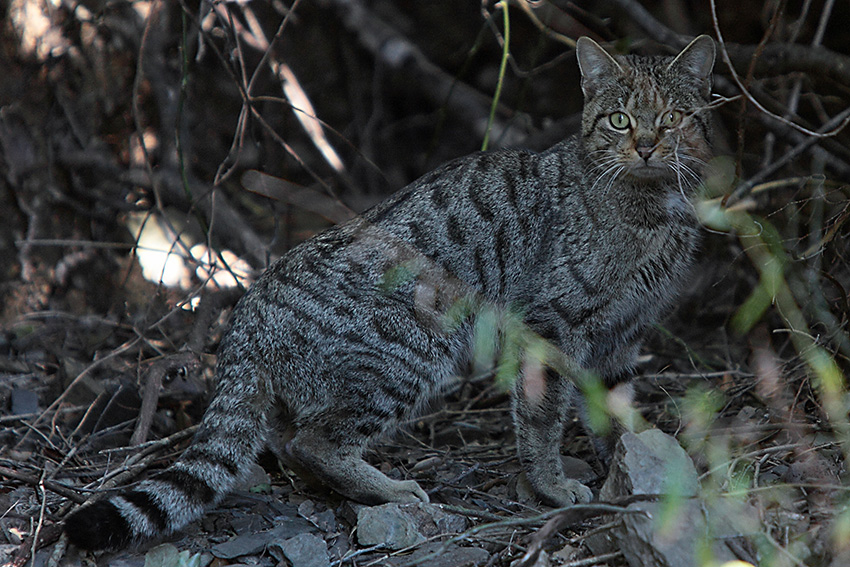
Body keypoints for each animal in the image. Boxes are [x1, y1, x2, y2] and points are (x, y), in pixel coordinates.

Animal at [64, 35, 716, 552]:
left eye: (673, 117)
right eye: (619, 120)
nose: (647, 144)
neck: (652, 207)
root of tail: (249, 309)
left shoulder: (624, 331)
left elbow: (615, 408)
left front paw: (634, 465)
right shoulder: (554, 322)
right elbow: (542, 417)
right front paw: (553, 487)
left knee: (287, 438)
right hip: (414, 349)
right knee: (314, 441)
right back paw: (390, 489)